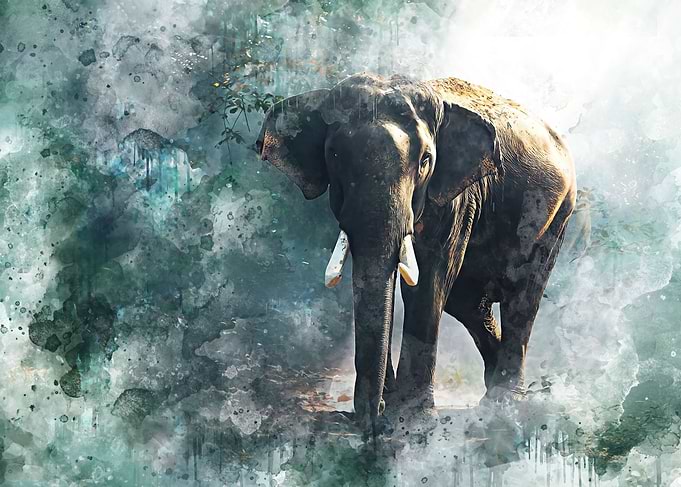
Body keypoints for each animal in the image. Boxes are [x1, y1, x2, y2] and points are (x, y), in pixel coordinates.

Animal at [256, 73, 576, 433]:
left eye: (425, 161)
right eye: (334, 156)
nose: (370, 423)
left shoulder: (455, 198)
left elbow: (427, 283)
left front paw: (413, 419)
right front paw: (391, 407)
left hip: (556, 217)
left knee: (520, 298)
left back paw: (505, 404)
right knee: (468, 303)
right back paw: (492, 392)